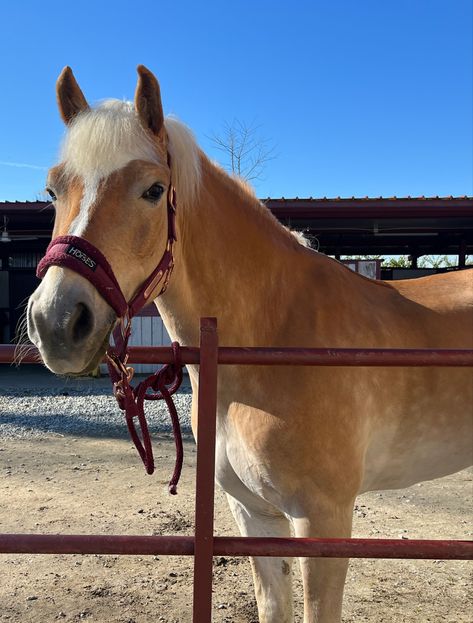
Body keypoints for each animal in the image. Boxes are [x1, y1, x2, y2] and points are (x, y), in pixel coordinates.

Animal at [26, 66, 472, 620]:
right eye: (52, 190)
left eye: (153, 189)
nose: (56, 322)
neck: (274, 335)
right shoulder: (255, 515)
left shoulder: (323, 524)